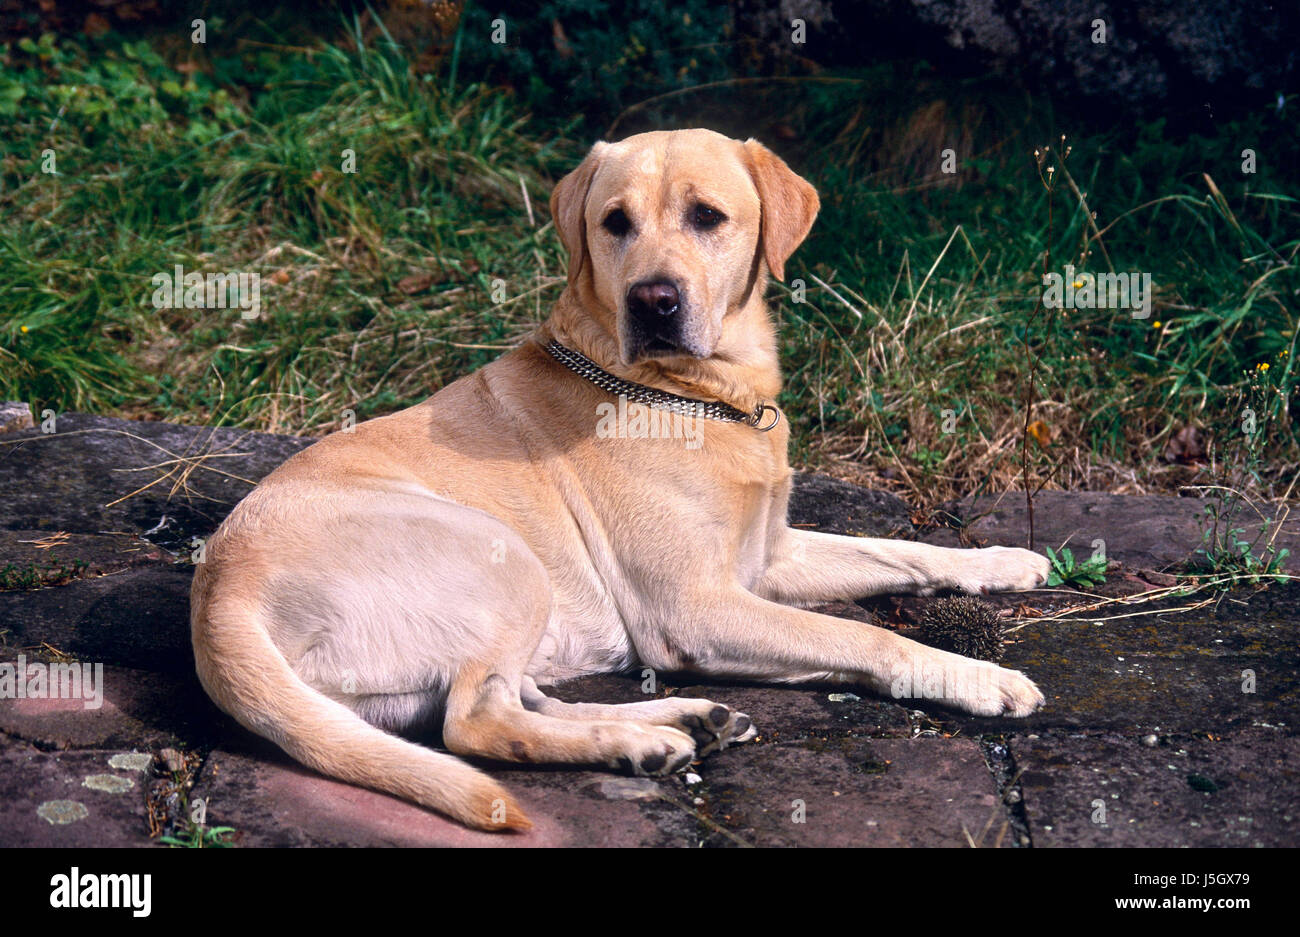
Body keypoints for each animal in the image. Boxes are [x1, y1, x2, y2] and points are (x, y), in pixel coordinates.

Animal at [189, 128, 1045, 831]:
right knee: (475, 723)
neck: (700, 394)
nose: (654, 299)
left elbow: (903, 551)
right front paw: (978, 675)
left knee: (515, 698)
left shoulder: (767, 558)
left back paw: (676, 724)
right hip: (504, 557)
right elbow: (869, 634)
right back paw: (642, 739)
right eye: (615, 223)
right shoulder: (697, 607)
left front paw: (1003, 561)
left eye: (707, 216)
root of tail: (218, 597)